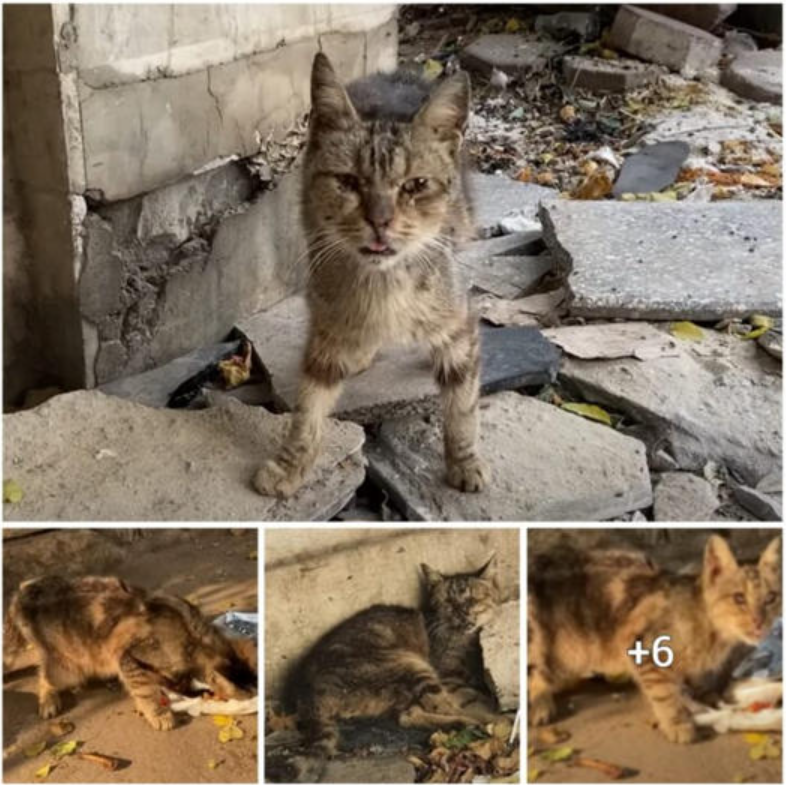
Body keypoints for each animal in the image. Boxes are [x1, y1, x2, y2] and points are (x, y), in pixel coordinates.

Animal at [5, 576, 258, 728]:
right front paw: (157, 713)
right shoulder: (129, 657)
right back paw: (48, 700)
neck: (195, 637)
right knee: (43, 675)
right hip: (65, 668)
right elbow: (144, 689)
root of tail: (25, 589)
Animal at [254, 52, 486, 500]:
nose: (380, 222)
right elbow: (309, 405)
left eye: (416, 185)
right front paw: (290, 463)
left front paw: (464, 461)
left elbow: (462, 404)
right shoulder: (325, 325)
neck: (384, 284)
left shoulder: (460, 321)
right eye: (347, 181)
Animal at [288, 556, 502, 756]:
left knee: (407, 716)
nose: (462, 613)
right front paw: (495, 715)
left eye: (473, 600)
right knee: (437, 707)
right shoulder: (450, 678)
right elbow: (477, 700)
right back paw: (475, 724)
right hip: (407, 663)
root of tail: (306, 696)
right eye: (448, 603)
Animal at [528, 532, 776, 740]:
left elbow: (689, 684)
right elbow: (663, 692)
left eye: (771, 599)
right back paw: (540, 705)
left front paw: (704, 698)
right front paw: (677, 722)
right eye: (739, 598)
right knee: (536, 672)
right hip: (544, 640)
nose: (759, 621)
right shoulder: (644, 647)